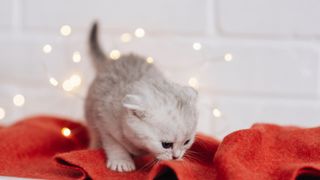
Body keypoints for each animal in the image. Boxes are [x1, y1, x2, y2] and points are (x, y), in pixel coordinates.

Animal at [86, 22, 199, 172]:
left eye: (187, 142)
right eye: (166, 144)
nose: (176, 157)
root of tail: (111, 60)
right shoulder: (103, 121)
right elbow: (114, 145)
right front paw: (121, 161)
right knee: (93, 133)